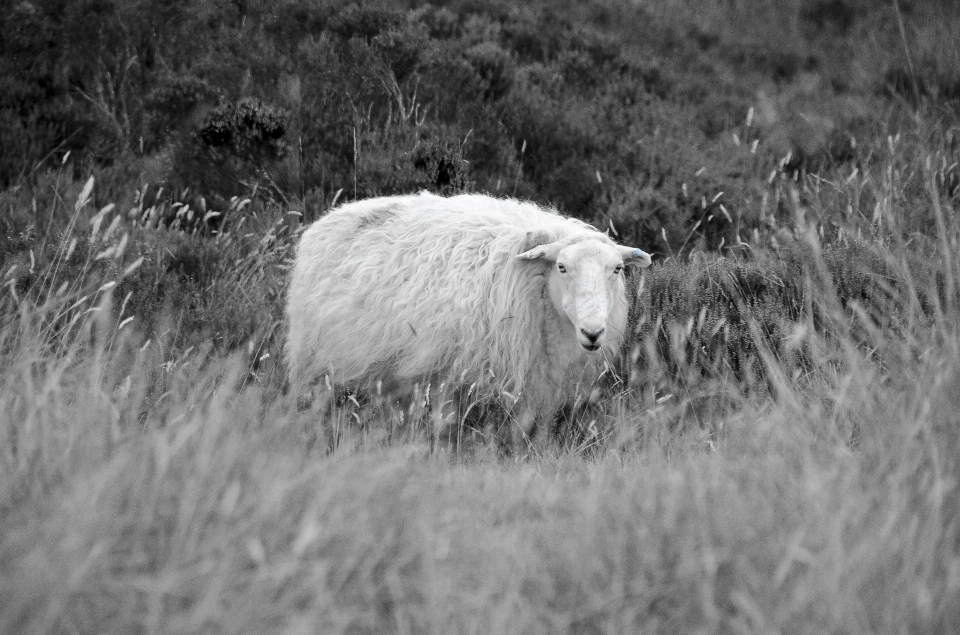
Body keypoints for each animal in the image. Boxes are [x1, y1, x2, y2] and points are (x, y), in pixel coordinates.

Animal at [284, 191, 652, 444]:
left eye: (617, 269)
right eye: (561, 267)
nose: (593, 332)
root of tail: (328, 217)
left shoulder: (542, 384)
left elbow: (531, 432)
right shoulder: (449, 374)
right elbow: (445, 428)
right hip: (313, 364)